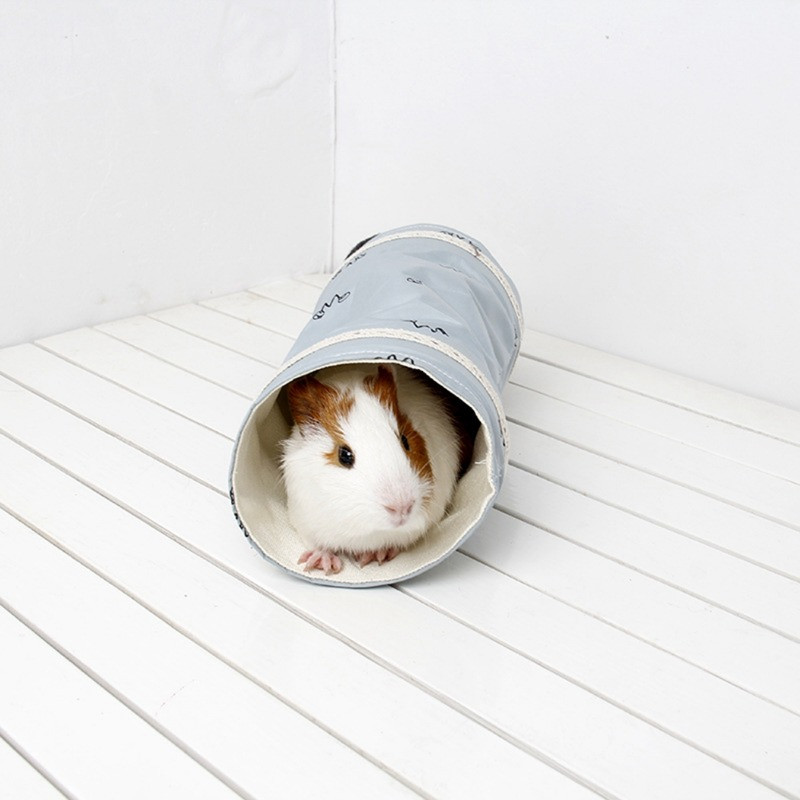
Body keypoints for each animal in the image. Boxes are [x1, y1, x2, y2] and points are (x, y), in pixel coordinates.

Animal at [280, 363, 474, 575]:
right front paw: (323, 564)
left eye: (405, 440)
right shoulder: (302, 517)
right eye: (344, 455)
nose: (401, 507)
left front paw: (375, 556)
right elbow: (315, 543)